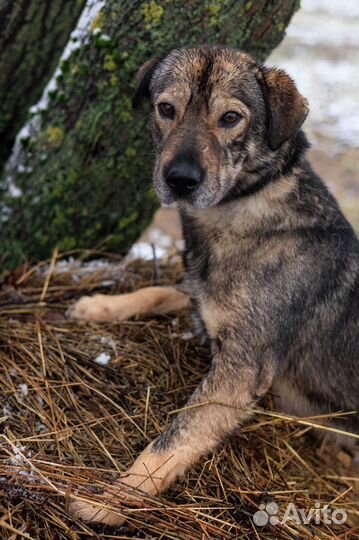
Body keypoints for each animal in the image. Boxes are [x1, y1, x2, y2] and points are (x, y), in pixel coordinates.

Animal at [68, 46, 359, 528]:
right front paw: (98, 305)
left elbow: (173, 439)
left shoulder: (240, 373)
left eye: (230, 118)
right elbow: (159, 291)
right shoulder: (200, 295)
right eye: (167, 109)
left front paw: (112, 499)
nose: (181, 179)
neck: (246, 206)